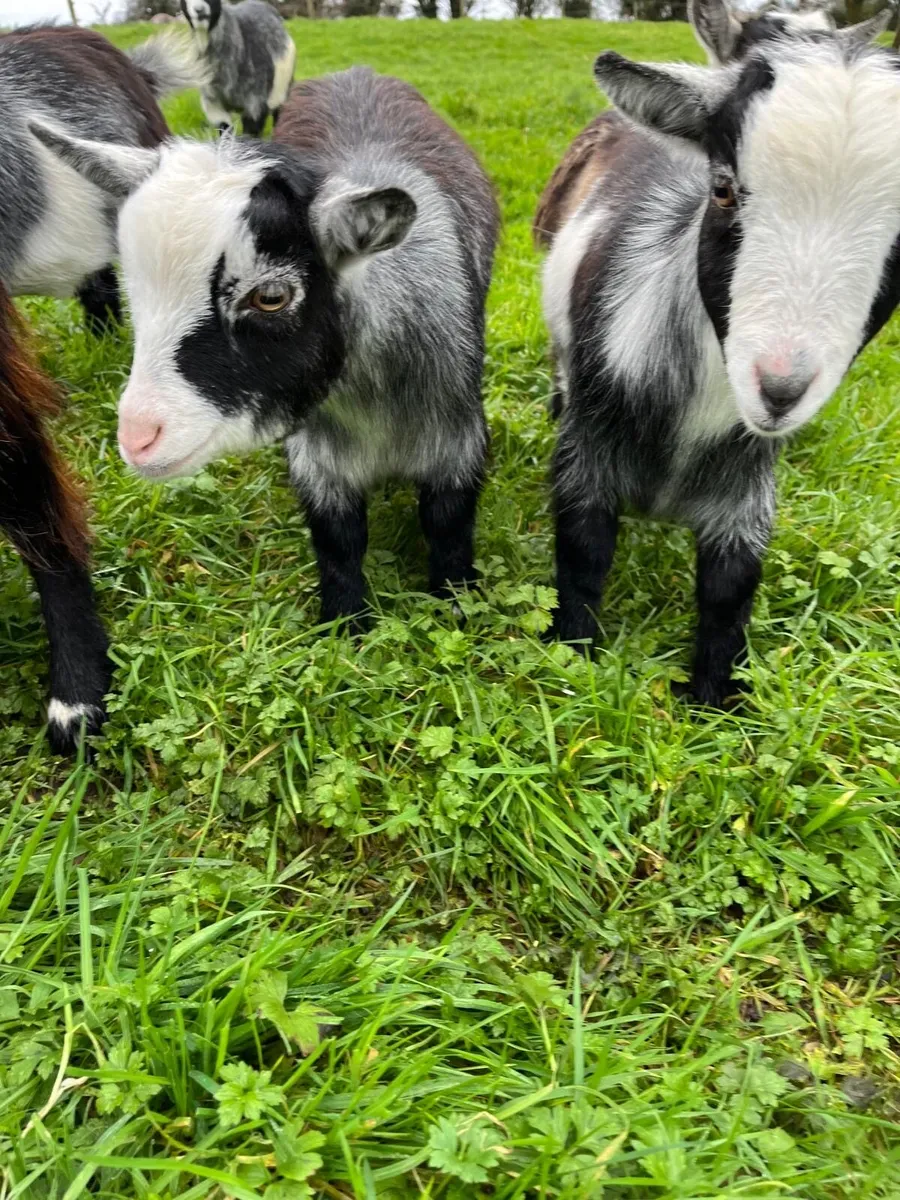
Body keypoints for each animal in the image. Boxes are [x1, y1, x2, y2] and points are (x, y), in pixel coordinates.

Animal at [32, 67, 499, 632]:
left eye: (271, 296)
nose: (139, 438)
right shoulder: (319, 461)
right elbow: (338, 539)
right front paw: (345, 626)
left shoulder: (457, 440)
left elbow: (448, 525)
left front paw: (458, 607)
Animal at [181, 0, 296, 137]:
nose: (199, 10)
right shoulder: (213, 103)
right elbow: (225, 130)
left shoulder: (255, 102)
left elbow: (251, 132)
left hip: (282, 87)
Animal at [534, 1, 899, 707]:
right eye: (725, 188)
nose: (778, 388)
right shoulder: (588, 453)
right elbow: (584, 551)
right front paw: (572, 659)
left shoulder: (746, 485)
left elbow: (732, 586)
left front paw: (713, 698)